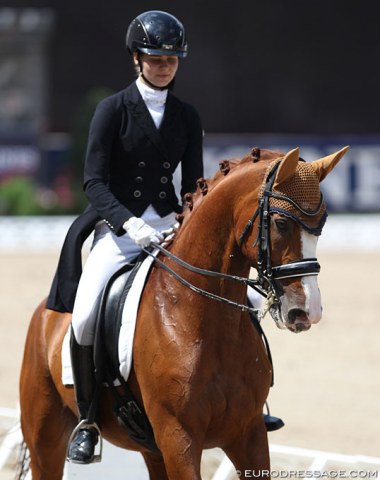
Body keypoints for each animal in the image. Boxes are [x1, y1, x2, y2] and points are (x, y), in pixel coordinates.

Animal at [20, 146, 348, 480]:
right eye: (281, 223)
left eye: (321, 225)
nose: (307, 311)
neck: (205, 321)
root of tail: (46, 312)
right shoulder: (178, 437)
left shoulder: (248, 433)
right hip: (45, 440)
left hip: (151, 450)